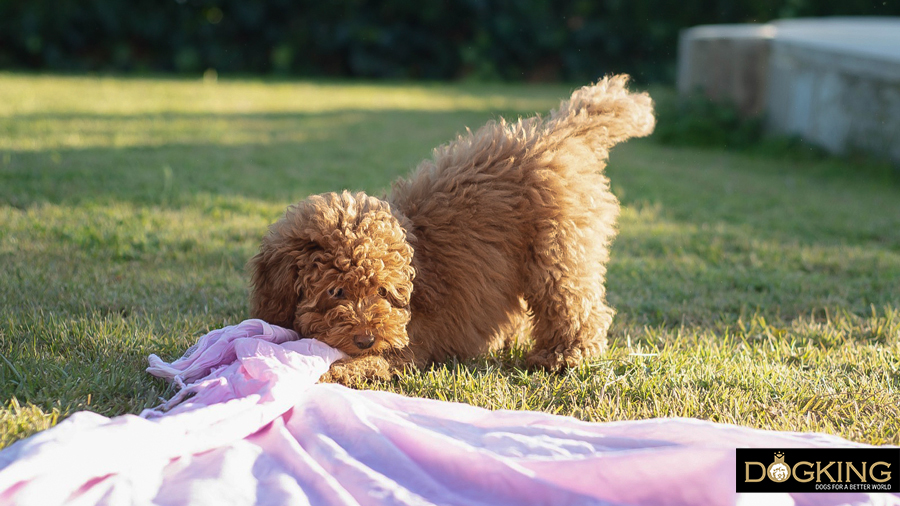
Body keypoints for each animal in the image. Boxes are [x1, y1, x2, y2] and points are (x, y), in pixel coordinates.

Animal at [248, 76, 652, 384]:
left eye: (382, 291)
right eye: (335, 291)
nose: (365, 338)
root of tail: (556, 133)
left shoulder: (407, 345)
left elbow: (368, 361)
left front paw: (329, 371)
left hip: (560, 249)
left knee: (572, 304)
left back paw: (564, 355)